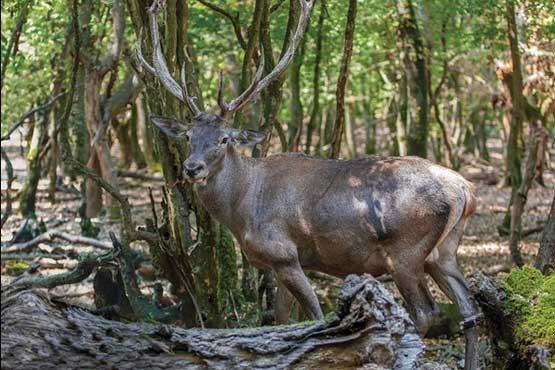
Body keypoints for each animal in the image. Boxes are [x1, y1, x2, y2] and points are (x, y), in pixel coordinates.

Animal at [138, 1, 482, 368]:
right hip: (444, 252)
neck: (244, 208)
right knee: (469, 310)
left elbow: (315, 318)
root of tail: (464, 190)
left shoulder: (284, 252)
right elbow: (280, 321)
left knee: (426, 313)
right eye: (189, 135)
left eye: (224, 138)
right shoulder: (277, 263)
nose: (192, 168)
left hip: (406, 250)